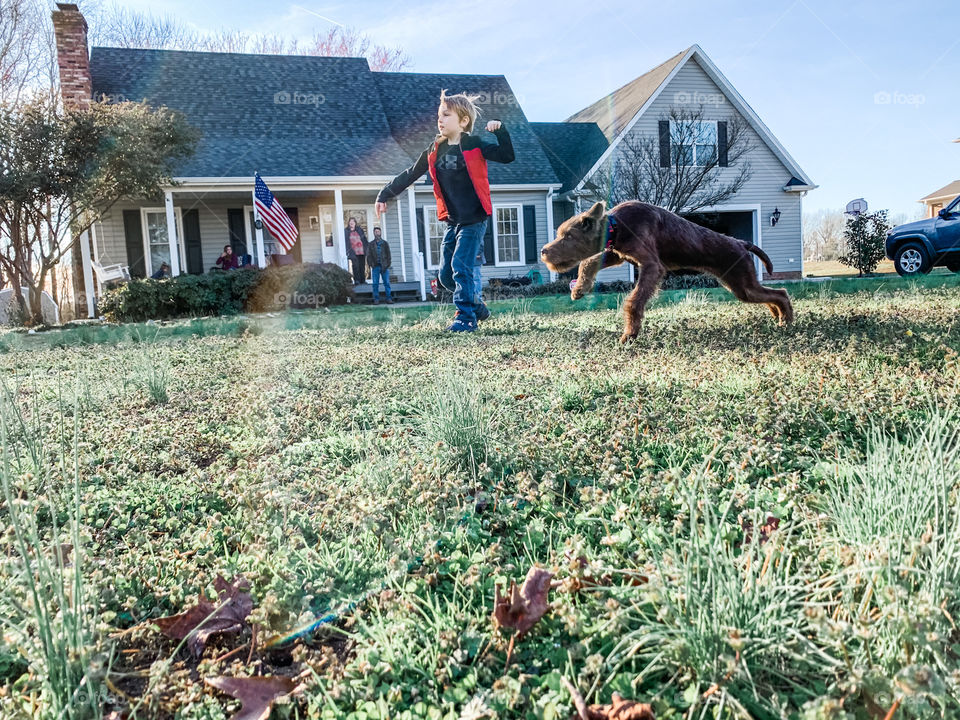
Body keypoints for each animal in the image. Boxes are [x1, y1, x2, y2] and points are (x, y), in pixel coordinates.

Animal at [540, 198, 796, 342]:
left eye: (568, 236)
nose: (543, 252)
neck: (617, 225)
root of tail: (741, 242)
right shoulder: (617, 253)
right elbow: (589, 262)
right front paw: (579, 289)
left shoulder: (652, 266)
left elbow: (634, 301)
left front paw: (629, 334)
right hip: (739, 285)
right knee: (772, 295)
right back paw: (777, 315)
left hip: (742, 282)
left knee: (781, 293)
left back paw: (786, 320)